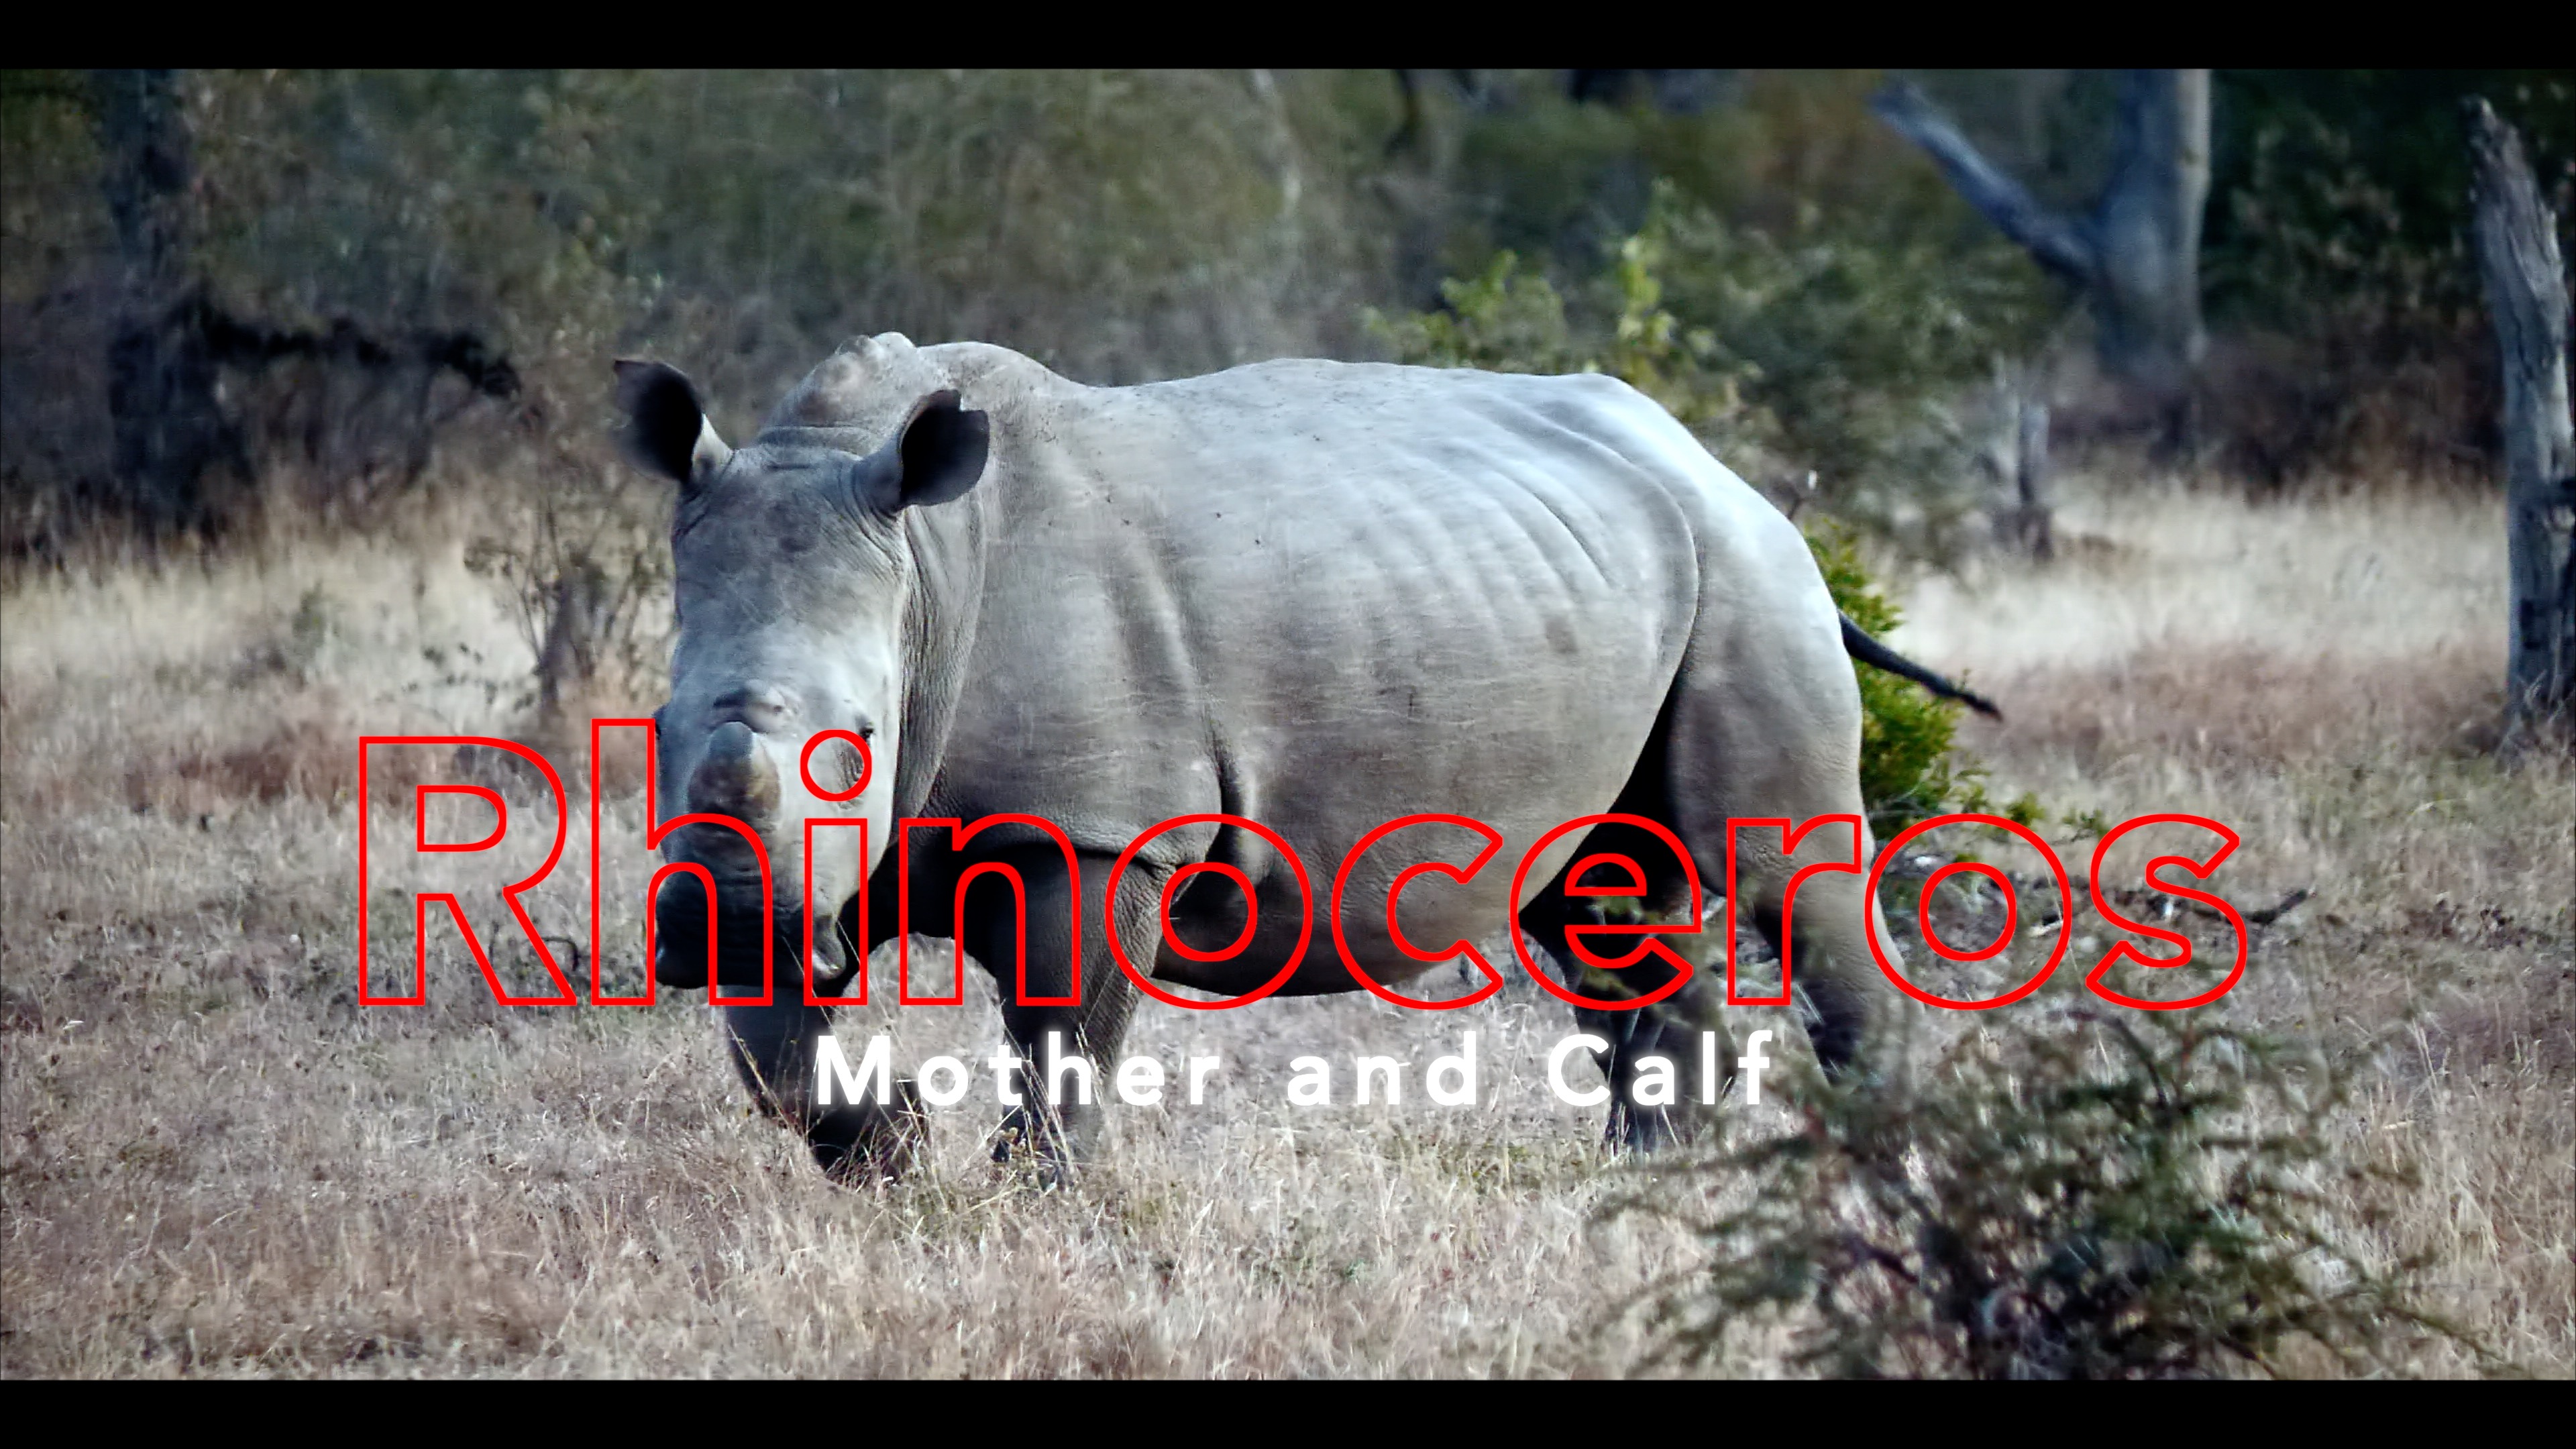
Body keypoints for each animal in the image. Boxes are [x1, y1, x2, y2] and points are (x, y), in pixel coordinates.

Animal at [618, 333, 1989, 1179]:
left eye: (855, 745)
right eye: (658, 730)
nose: (695, 935)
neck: (922, 576)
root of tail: (1722, 466)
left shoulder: (1099, 830)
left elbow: (1065, 1038)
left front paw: (1031, 1203)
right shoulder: (797, 871)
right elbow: (778, 1058)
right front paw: (892, 1151)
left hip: (1755, 578)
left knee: (1782, 867)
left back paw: (1880, 1167)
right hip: (1617, 573)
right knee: (1601, 897)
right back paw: (1644, 1180)